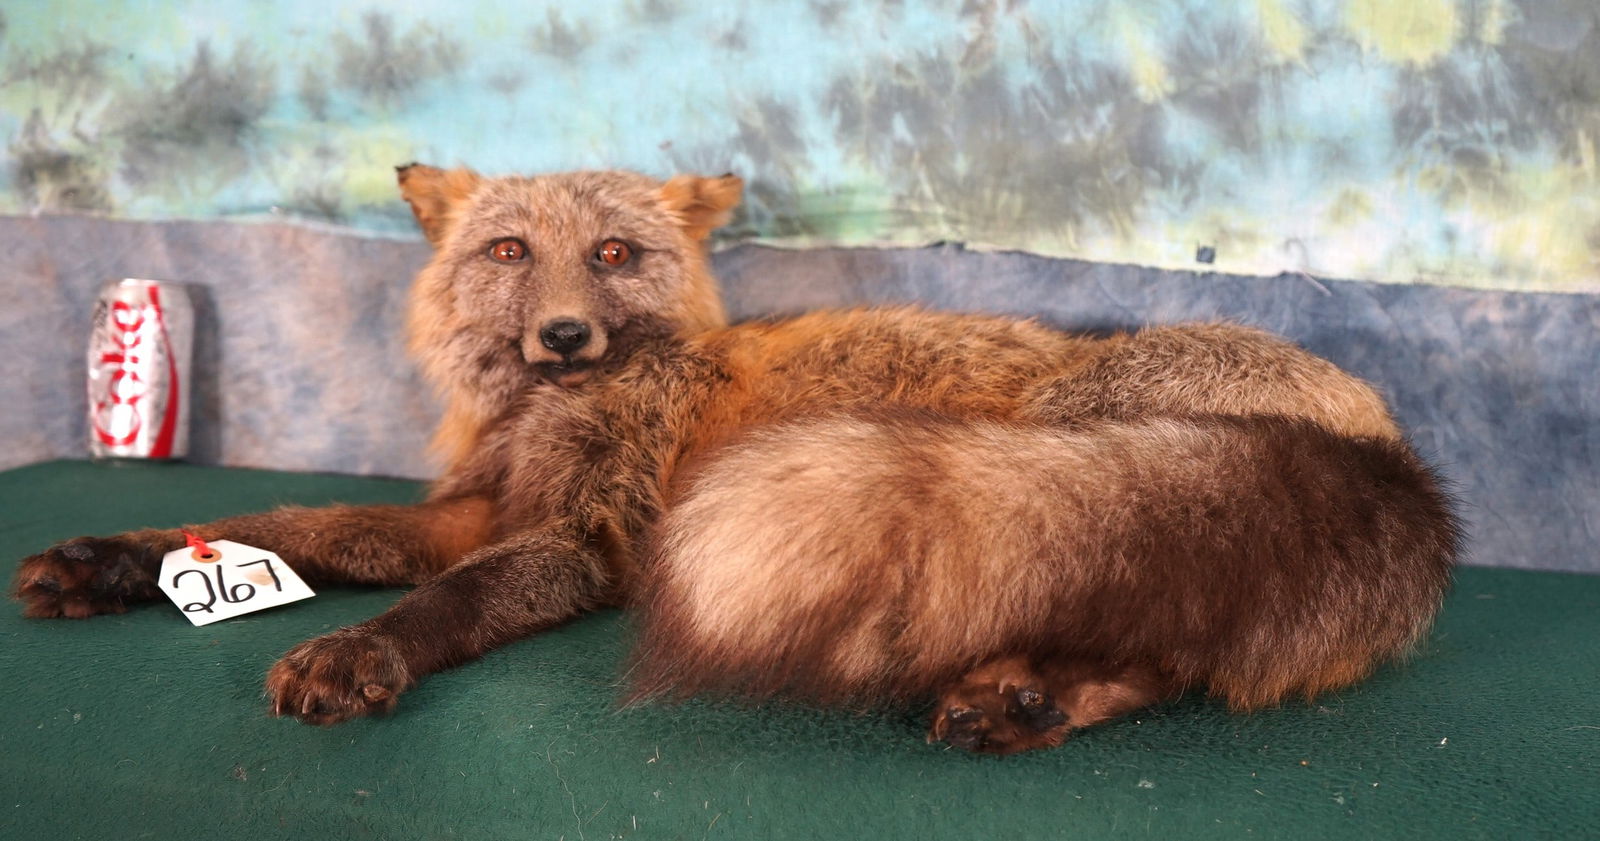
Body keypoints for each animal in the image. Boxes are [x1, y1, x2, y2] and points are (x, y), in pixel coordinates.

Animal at [11, 165, 1455, 752]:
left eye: (612, 252)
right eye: (508, 252)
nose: (565, 333)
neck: (554, 414)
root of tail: (1400, 462)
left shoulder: (583, 538)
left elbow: (446, 601)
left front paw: (360, 651)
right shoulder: (470, 509)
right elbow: (279, 527)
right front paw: (113, 558)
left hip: (1047, 467)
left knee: (1155, 637)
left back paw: (1032, 696)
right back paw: (1032, 701)